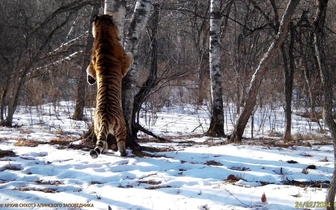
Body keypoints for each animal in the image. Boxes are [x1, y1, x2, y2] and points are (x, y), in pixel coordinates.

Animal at [86, 14, 133, 158]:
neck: (103, 33)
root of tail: (106, 117)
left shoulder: (92, 64)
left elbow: (88, 69)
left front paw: (90, 80)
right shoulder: (124, 60)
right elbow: (130, 56)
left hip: (97, 128)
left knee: (102, 141)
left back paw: (105, 151)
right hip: (122, 128)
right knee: (121, 143)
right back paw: (124, 153)